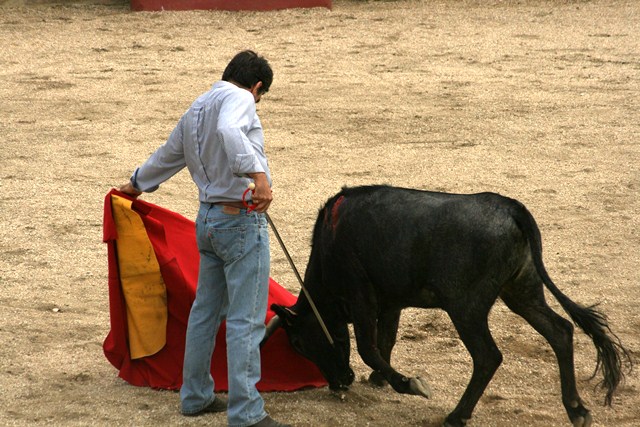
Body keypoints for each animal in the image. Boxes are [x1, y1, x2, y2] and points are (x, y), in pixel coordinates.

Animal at [262, 185, 630, 427]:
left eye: (299, 343)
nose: (339, 382)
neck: (329, 243)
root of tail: (512, 208)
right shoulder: (391, 301)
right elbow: (385, 340)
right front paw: (381, 379)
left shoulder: (361, 295)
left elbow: (369, 347)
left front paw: (408, 383)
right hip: (521, 291)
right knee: (560, 331)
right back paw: (577, 410)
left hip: (465, 307)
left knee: (488, 356)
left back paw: (457, 415)